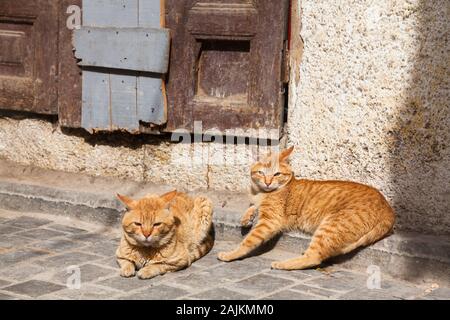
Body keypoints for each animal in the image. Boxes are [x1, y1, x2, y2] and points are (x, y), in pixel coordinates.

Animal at [217, 148, 394, 270]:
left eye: (277, 174)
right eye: (261, 172)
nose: (267, 182)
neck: (261, 192)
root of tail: (388, 209)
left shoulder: (270, 221)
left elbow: (248, 242)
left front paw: (231, 254)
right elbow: (252, 206)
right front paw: (246, 218)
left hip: (330, 226)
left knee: (314, 257)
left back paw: (282, 264)